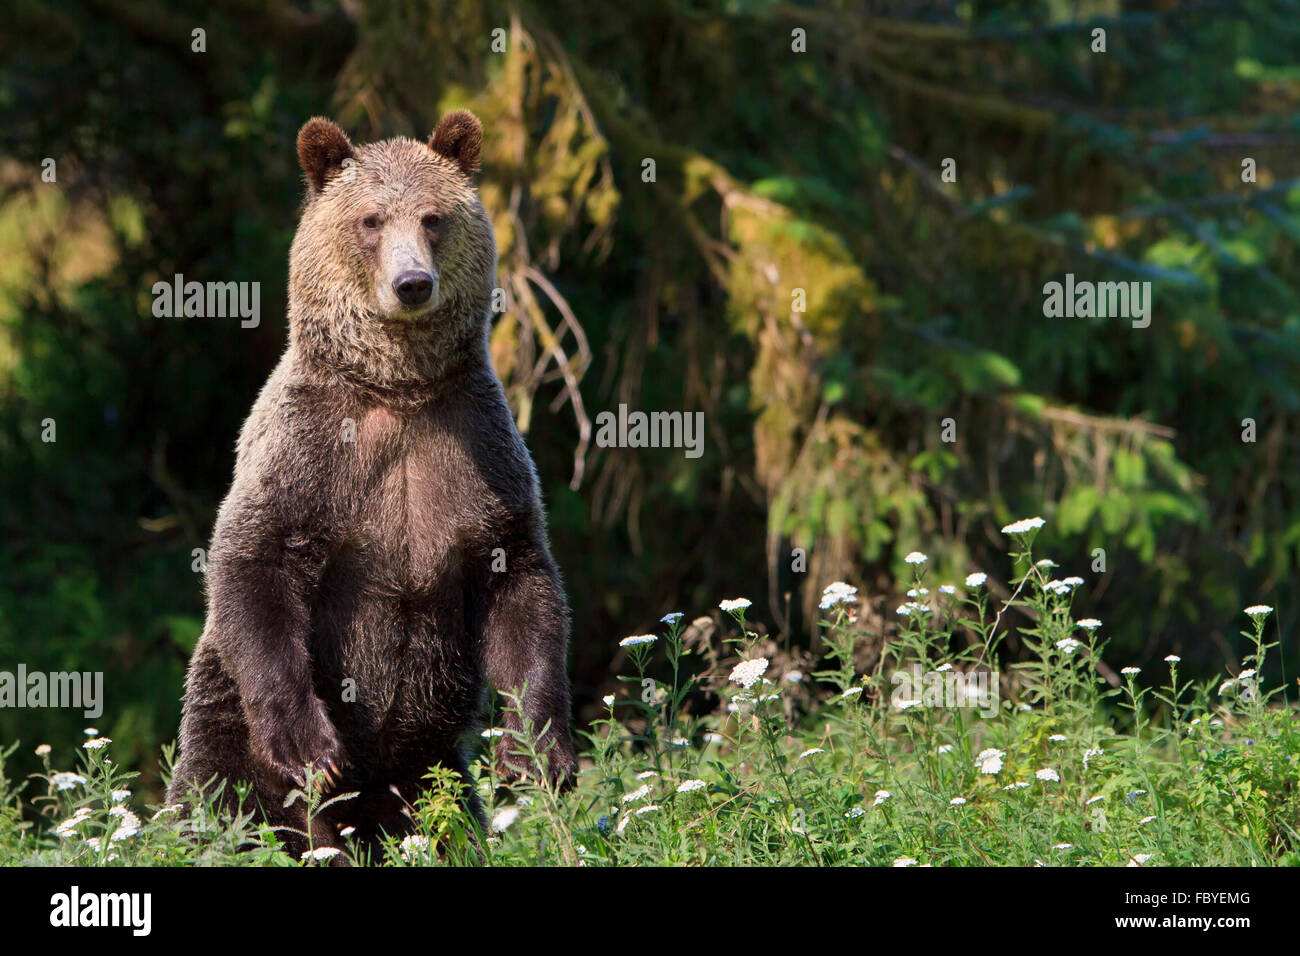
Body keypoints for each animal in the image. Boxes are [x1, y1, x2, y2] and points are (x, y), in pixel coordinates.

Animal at [170, 111, 577, 858]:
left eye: (433, 217)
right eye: (370, 219)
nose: (412, 282)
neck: (400, 391)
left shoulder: (478, 452)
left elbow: (522, 583)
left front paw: (538, 753)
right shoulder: (311, 452)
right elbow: (255, 561)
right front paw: (310, 746)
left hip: (429, 767)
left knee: (449, 821)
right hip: (222, 717)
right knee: (217, 796)